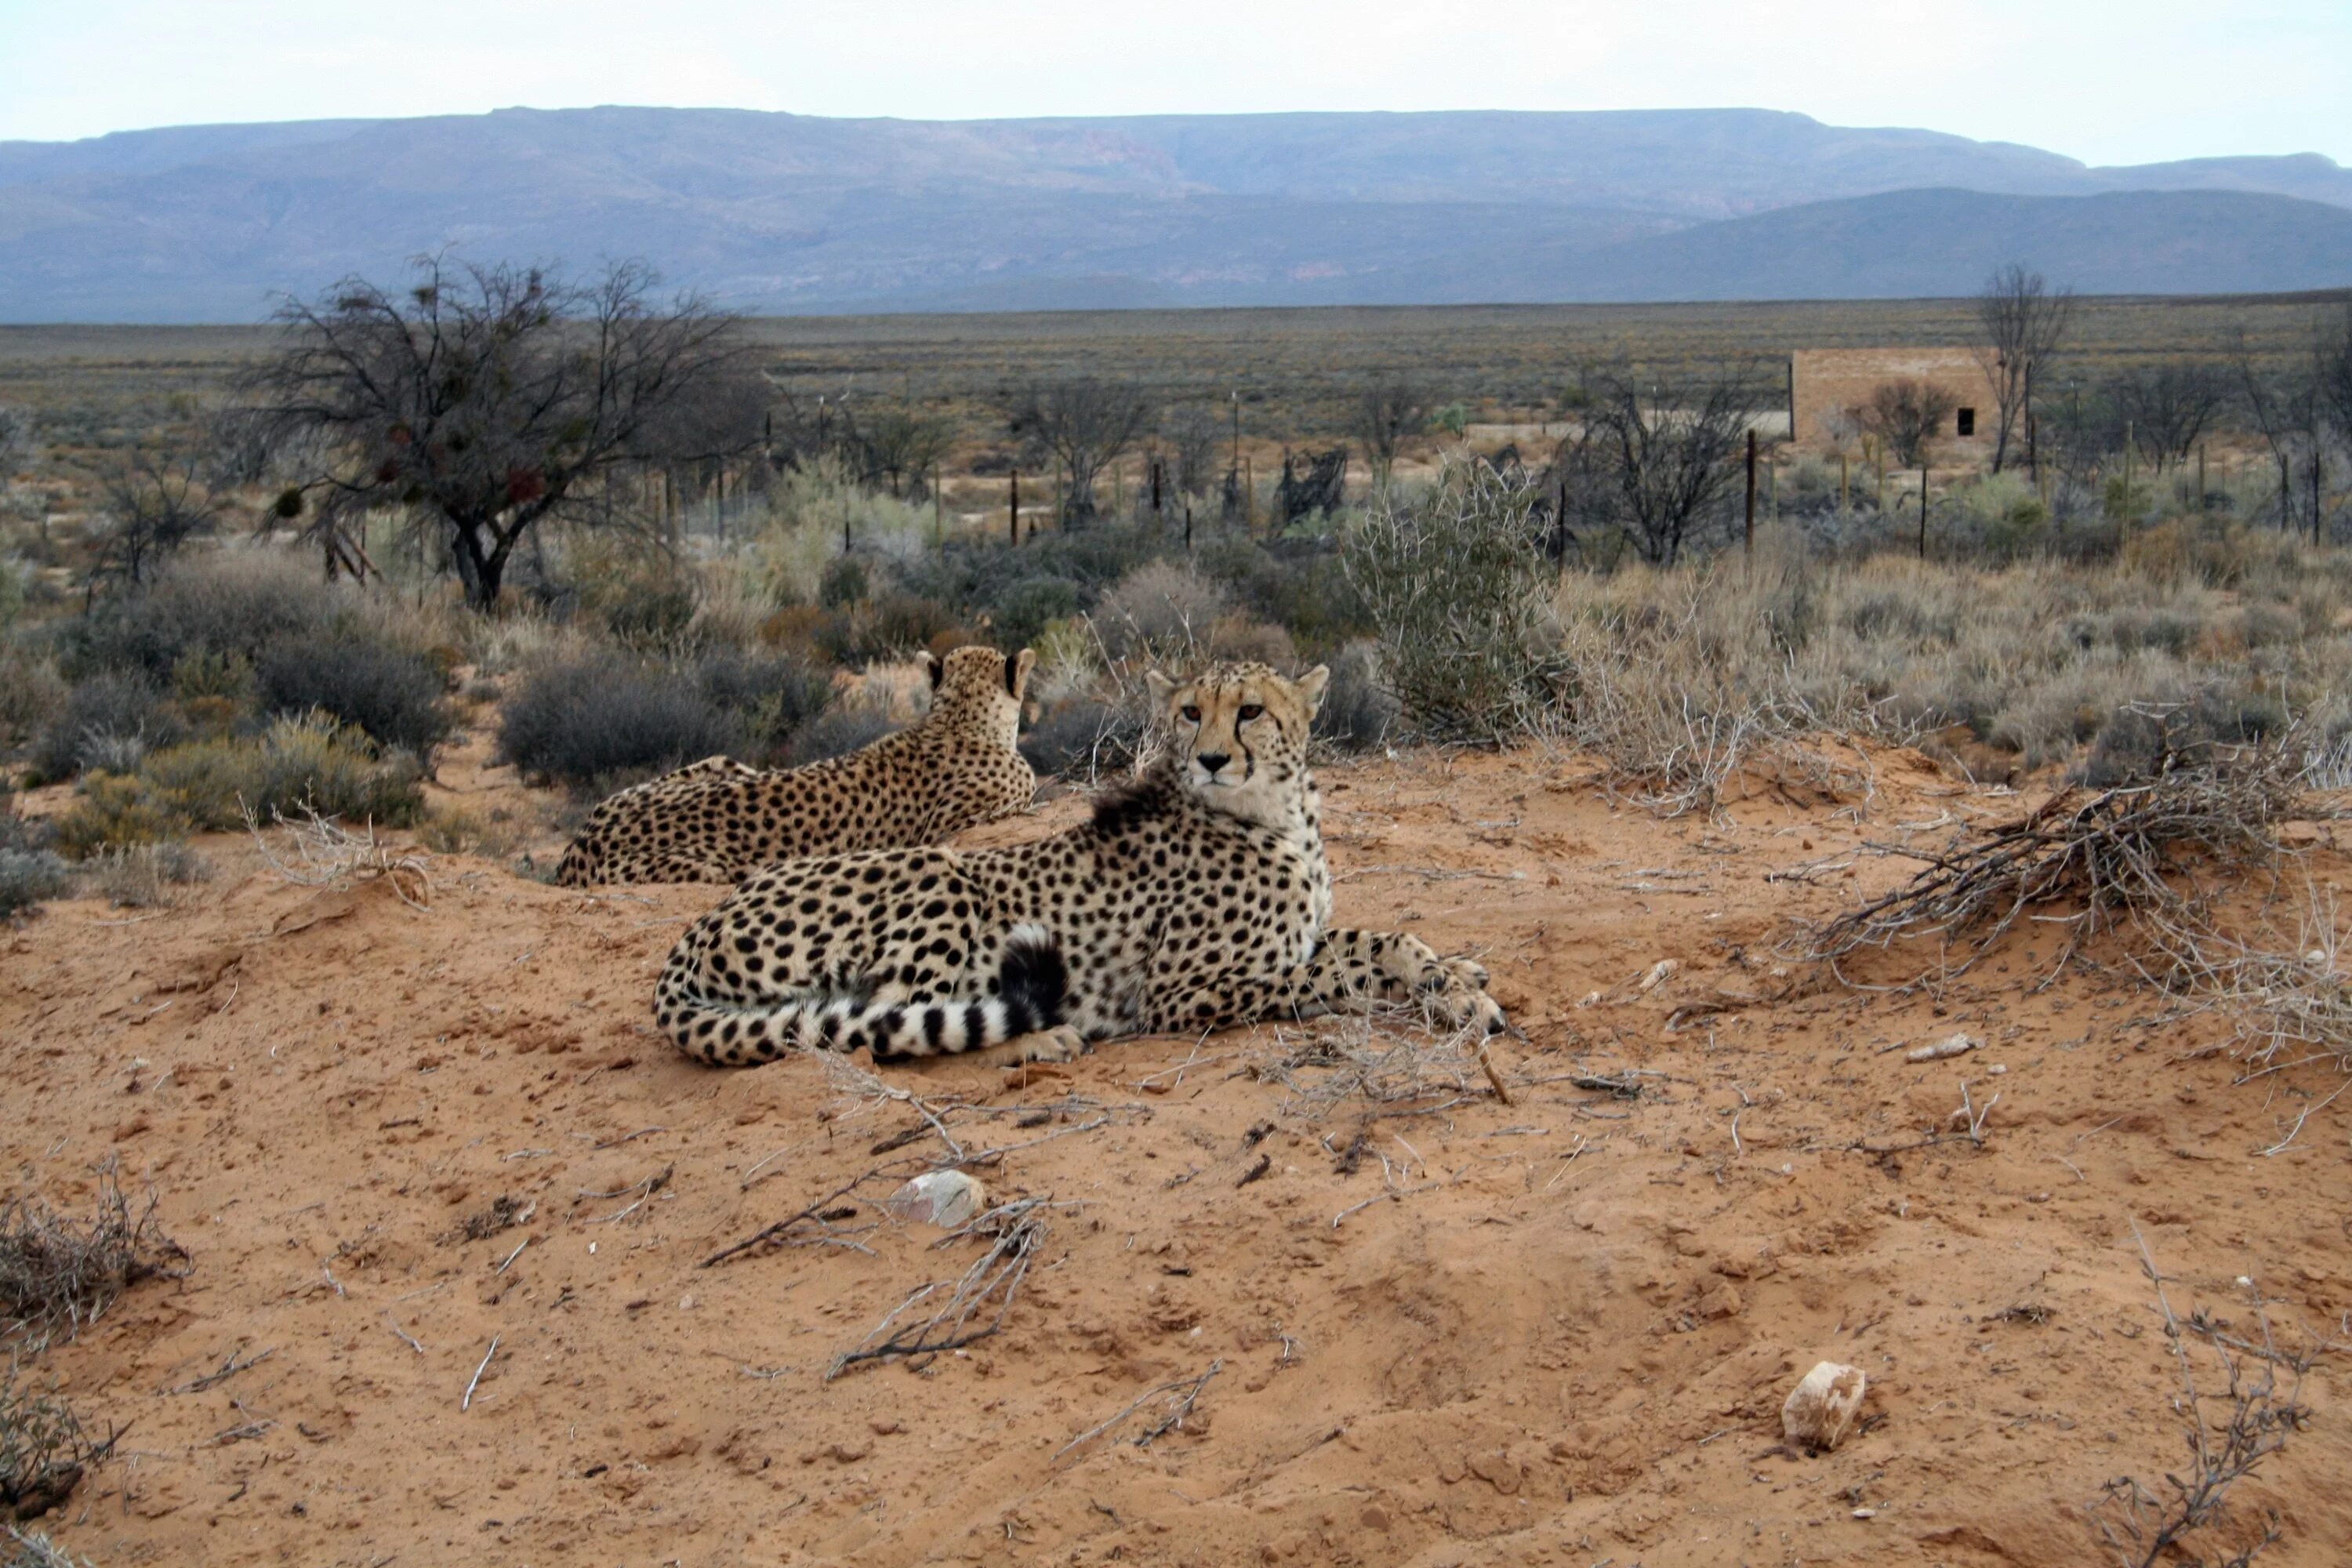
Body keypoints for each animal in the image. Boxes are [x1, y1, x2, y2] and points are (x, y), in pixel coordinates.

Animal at [654, 658, 1496, 1072]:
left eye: (1251, 710)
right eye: (1191, 712)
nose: (1212, 758)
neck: (1276, 812)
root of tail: (695, 931)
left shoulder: (1309, 931)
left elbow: (1385, 941)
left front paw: (1453, 976)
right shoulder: (1181, 993)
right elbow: (1334, 976)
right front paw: (1450, 994)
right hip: (941, 873)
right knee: (885, 1030)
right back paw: (1037, 1040)